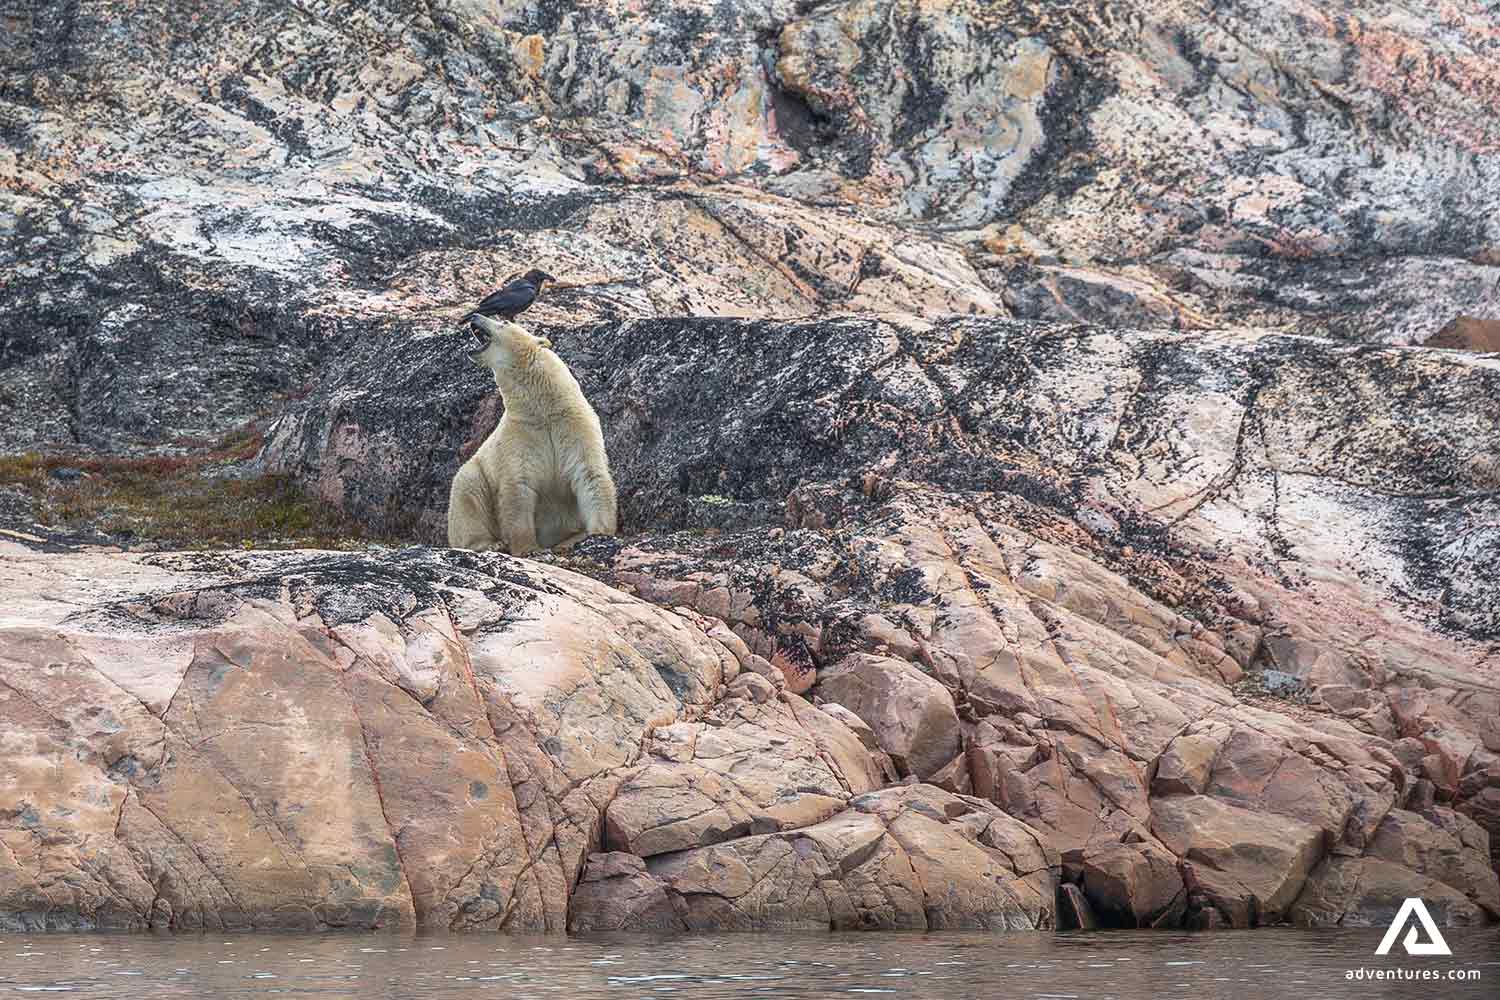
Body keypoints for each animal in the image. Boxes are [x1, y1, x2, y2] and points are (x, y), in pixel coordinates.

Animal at [446, 316, 618, 555]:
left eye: (504, 323)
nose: (474, 317)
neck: (545, 411)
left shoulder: (577, 427)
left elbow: (590, 475)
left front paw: (599, 534)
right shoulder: (519, 435)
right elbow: (519, 485)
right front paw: (528, 548)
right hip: (476, 475)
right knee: (467, 490)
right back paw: (492, 543)